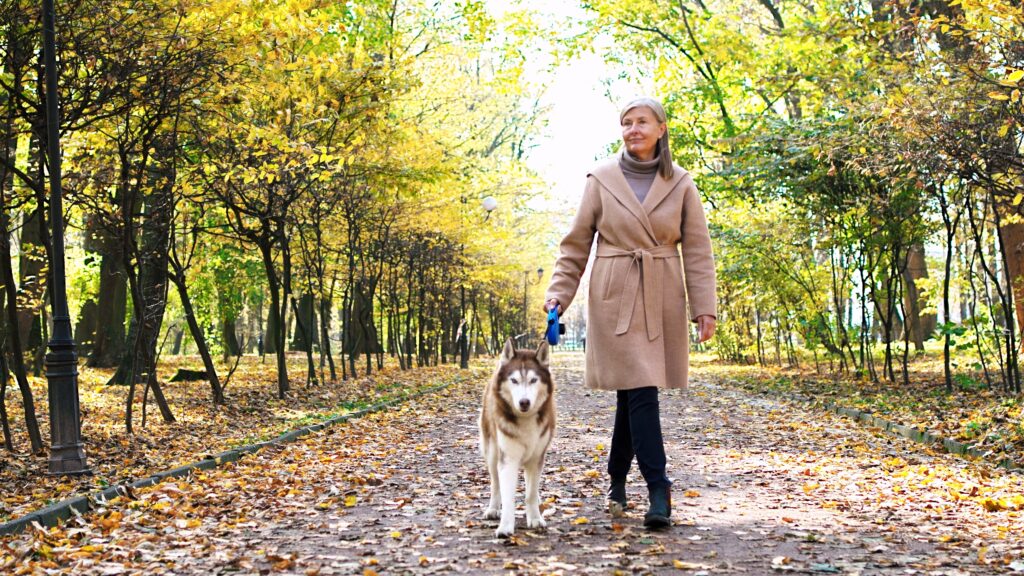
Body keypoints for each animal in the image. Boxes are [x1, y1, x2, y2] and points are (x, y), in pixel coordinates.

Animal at [477, 338, 552, 537]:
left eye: (533, 380)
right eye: (514, 380)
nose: (524, 402)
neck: (525, 421)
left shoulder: (537, 457)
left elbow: (531, 493)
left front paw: (535, 518)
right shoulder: (508, 458)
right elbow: (507, 495)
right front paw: (505, 526)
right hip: (492, 451)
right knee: (495, 483)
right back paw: (493, 508)